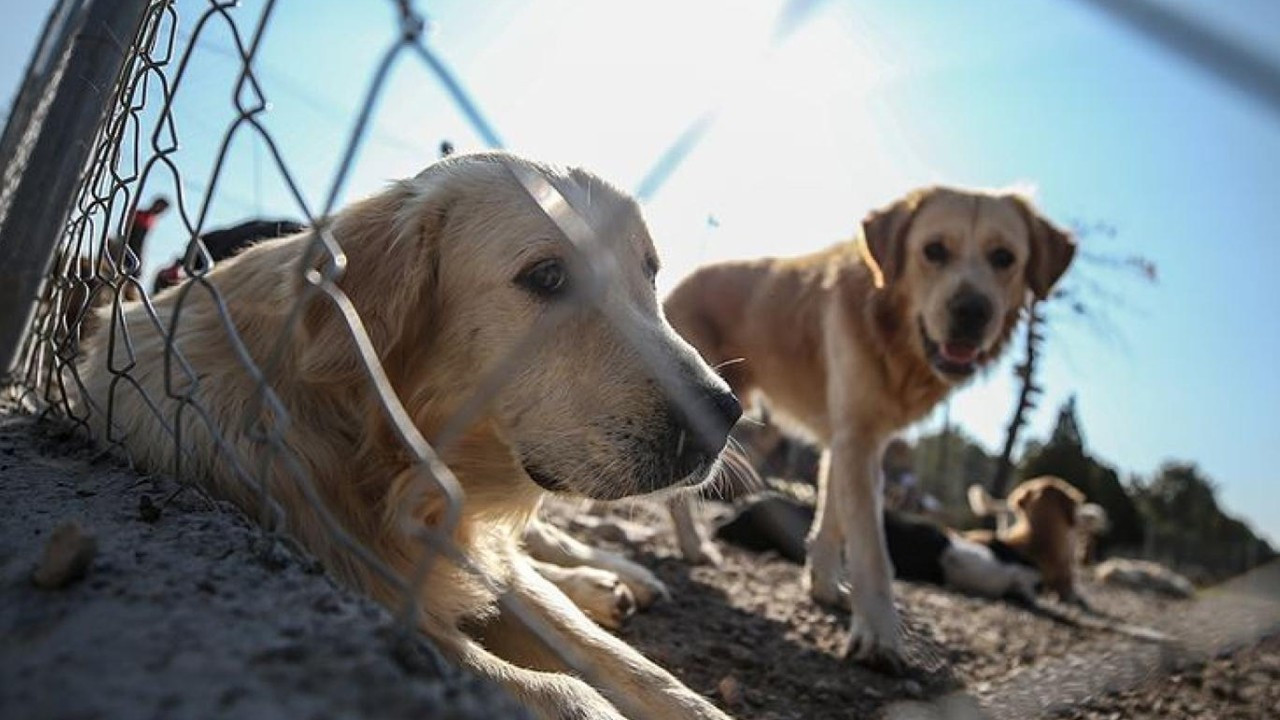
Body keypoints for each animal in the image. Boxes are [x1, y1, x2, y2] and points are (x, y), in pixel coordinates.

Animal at [74, 152, 747, 717]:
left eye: (651, 274)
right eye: (549, 276)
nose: (724, 415)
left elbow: (641, 674)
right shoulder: (364, 586)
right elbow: (563, 691)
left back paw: (614, 576)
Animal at [665, 184, 1075, 666]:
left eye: (1004, 257)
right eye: (934, 250)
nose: (972, 312)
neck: (892, 332)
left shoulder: (851, 440)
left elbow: (832, 520)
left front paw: (825, 587)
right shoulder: (856, 440)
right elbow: (871, 547)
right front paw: (880, 633)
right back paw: (694, 546)